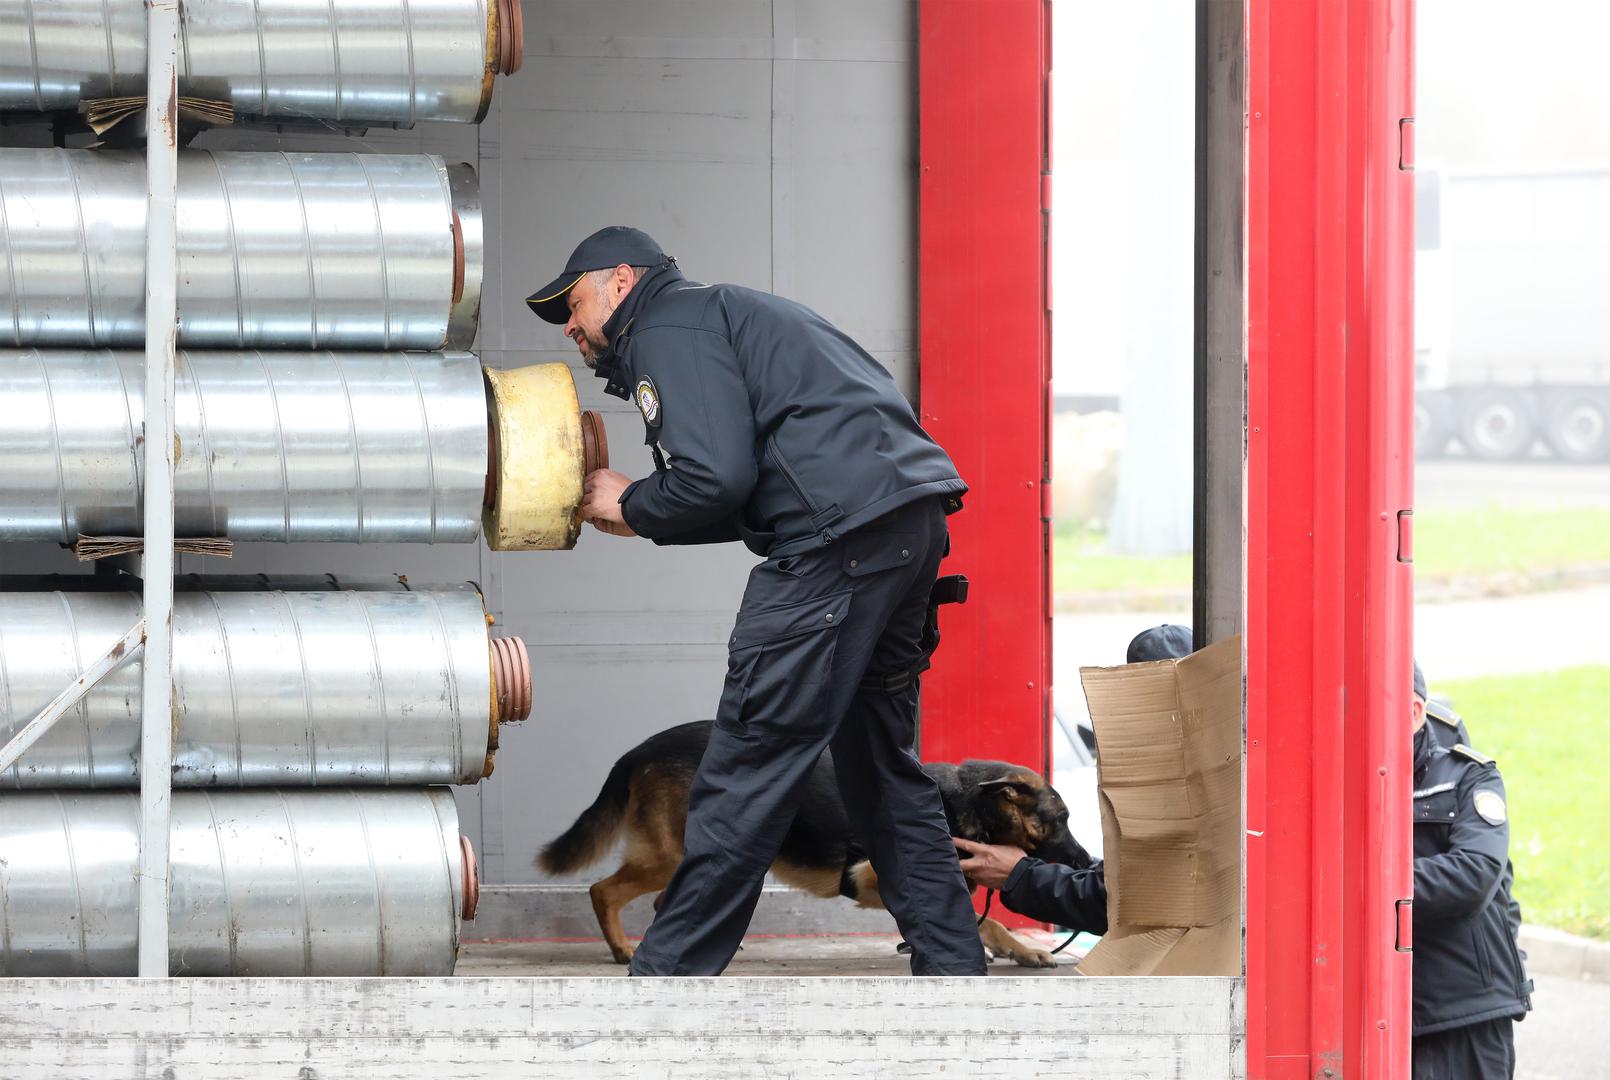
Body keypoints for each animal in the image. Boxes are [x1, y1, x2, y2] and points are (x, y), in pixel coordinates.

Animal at [540, 721, 1094, 965]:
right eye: (1061, 819)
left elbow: (981, 919)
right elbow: (980, 916)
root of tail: (638, 751)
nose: (1089, 860)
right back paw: (624, 949)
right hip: (670, 854)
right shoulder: (875, 875)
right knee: (603, 892)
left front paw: (1018, 949)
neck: (964, 802)